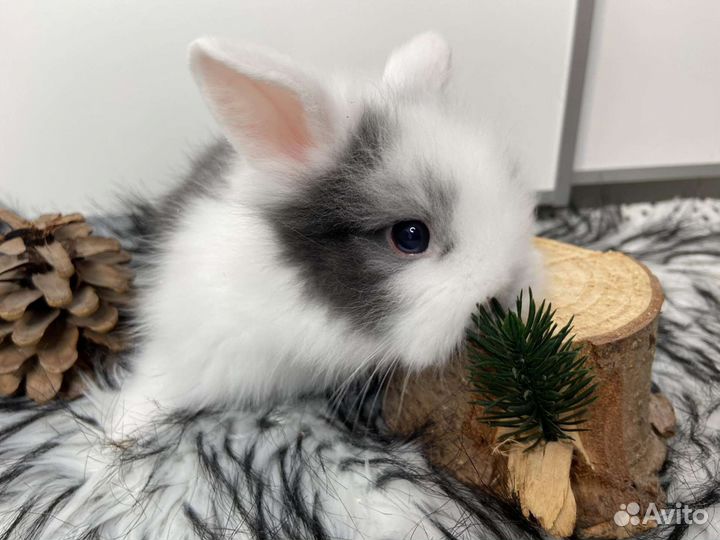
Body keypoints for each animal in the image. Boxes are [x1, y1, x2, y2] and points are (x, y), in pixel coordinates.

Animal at [0, 33, 541, 539]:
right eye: (411, 236)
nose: (505, 287)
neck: (318, 323)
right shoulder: (194, 345)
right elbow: (153, 387)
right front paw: (109, 441)